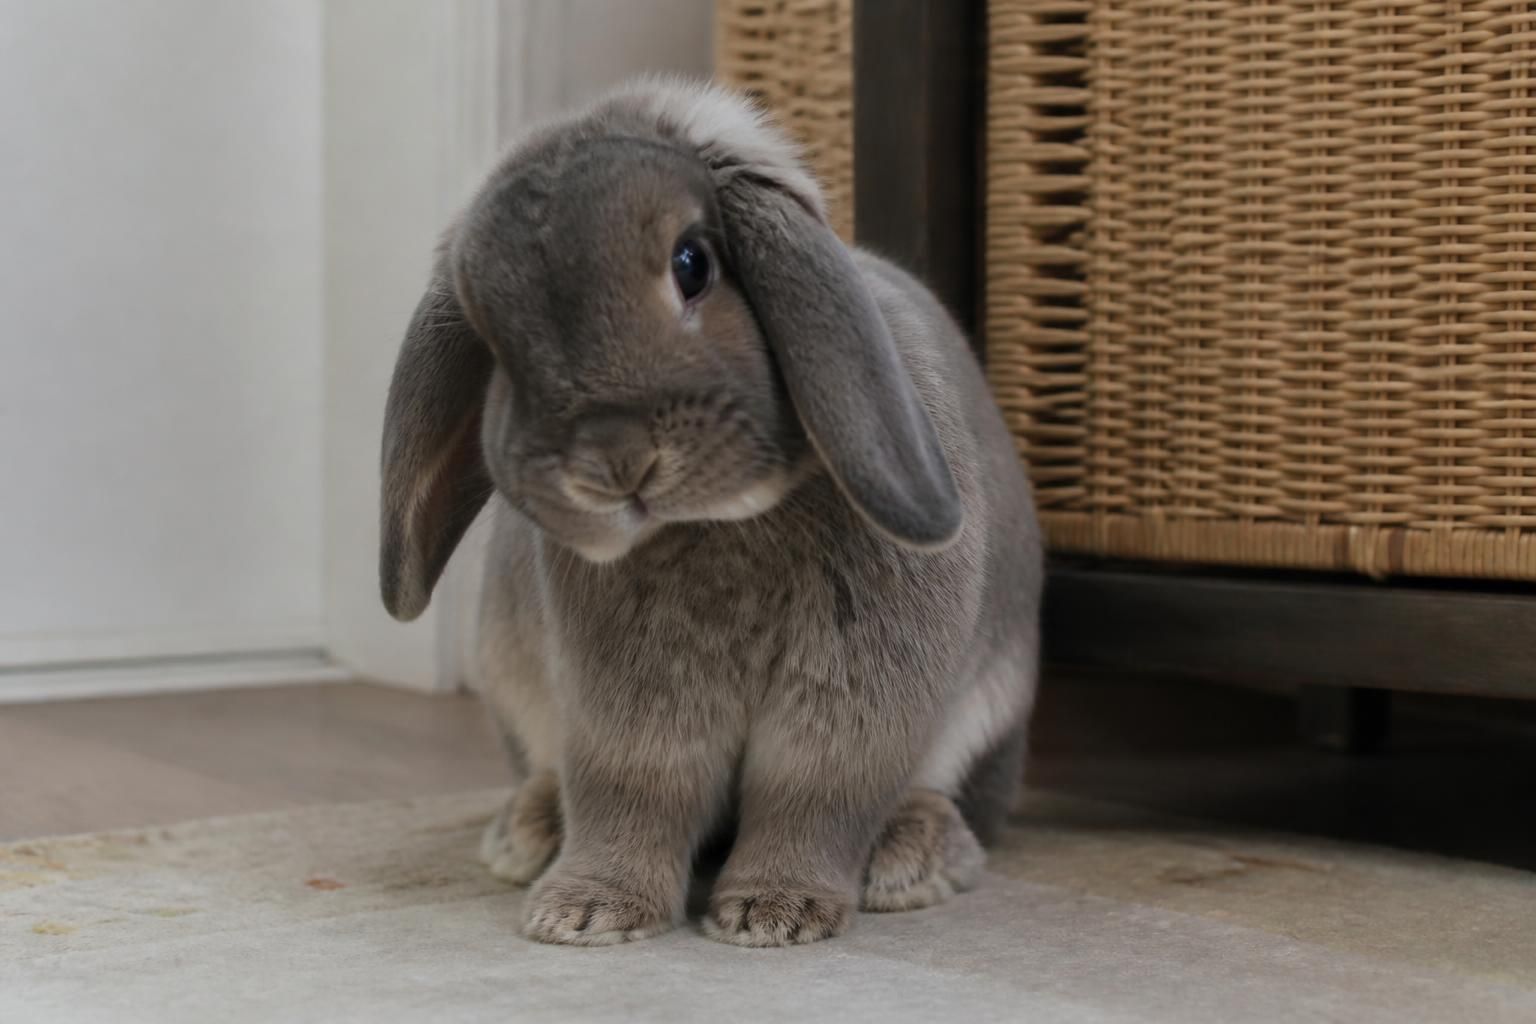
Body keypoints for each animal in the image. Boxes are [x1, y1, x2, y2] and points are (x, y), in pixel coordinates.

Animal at [378, 77, 1042, 947]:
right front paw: (585, 913)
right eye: (493, 338)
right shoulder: (626, 708)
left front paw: (776, 914)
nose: (612, 459)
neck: (721, 524)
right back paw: (527, 834)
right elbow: (634, 793)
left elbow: (814, 795)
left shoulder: (849, 699)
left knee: (954, 804)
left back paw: (912, 859)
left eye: (693, 264)